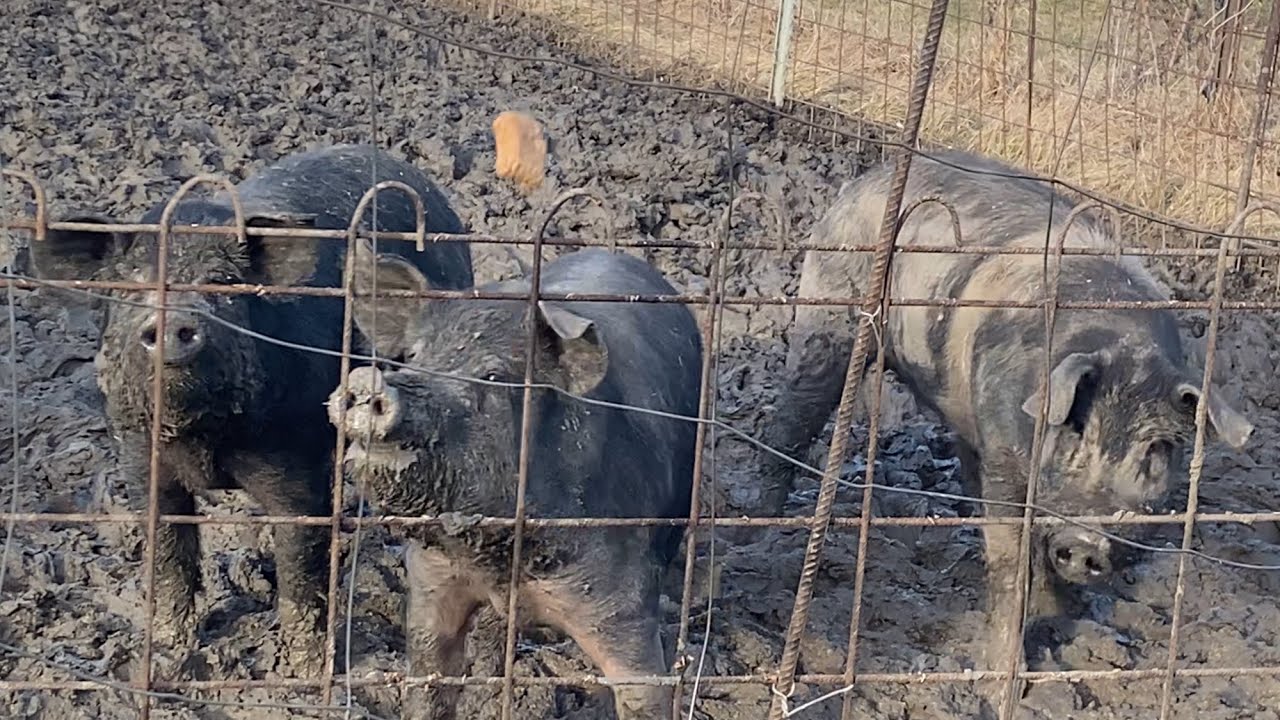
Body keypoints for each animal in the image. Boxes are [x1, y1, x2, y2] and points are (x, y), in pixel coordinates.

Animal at [27, 144, 475, 675]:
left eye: (222, 282)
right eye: (128, 285)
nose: (173, 320)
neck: (202, 438)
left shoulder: (297, 462)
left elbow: (301, 572)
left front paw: (308, 673)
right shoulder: (138, 455)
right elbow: (169, 560)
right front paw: (167, 658)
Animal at [327, 242, 701, 719]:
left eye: (492, 376)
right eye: (412, 357)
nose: (366, 381)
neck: (500, 559)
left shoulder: (622, 604)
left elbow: (643, 688)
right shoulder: (431, 577)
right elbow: (430, 673)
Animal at [755, 150, 1254, 682]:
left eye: (1156, 449)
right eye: (1076, 430)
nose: (1086, 541)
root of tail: (865, 181)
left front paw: (1056, 620)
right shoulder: (1007, 460)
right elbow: (1011, 557)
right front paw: (1005, 680)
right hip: (829, 313)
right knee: (791, 420)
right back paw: (764, 526)